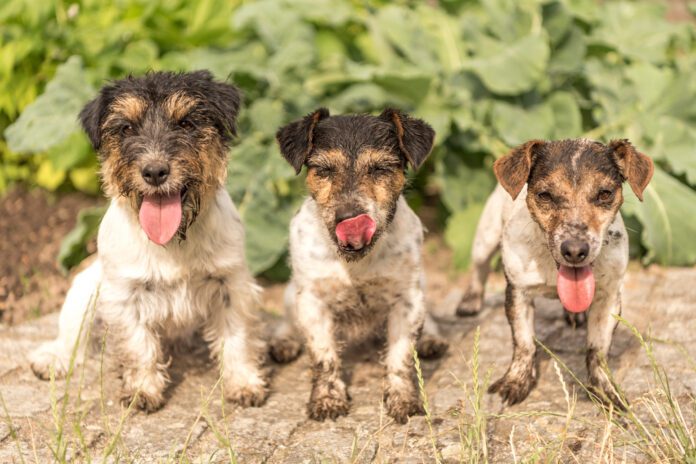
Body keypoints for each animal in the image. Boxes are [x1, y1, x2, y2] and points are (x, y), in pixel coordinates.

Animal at [27, 70, 266, 412]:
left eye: (186, 123)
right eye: (126, 128)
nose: (154, 171)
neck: (175, 241)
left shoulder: (231, 285)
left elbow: (237, 337)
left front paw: (243, 383)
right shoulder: (126, 295)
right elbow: (138, 345)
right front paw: (142, 390)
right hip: (82, 292)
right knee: (73, 338)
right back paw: (52, 358)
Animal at [270, 109, 448, 424]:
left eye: (379, 169)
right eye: (324, 169)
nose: (349, 218)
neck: (357, 263)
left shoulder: (408, 301)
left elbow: (401, 355)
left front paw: (403, 399)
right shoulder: (313, 301)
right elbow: (323, 355)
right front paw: (328, 399)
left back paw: (431, 339)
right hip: (294, 292)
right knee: (288, 320)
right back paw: (284, 341)